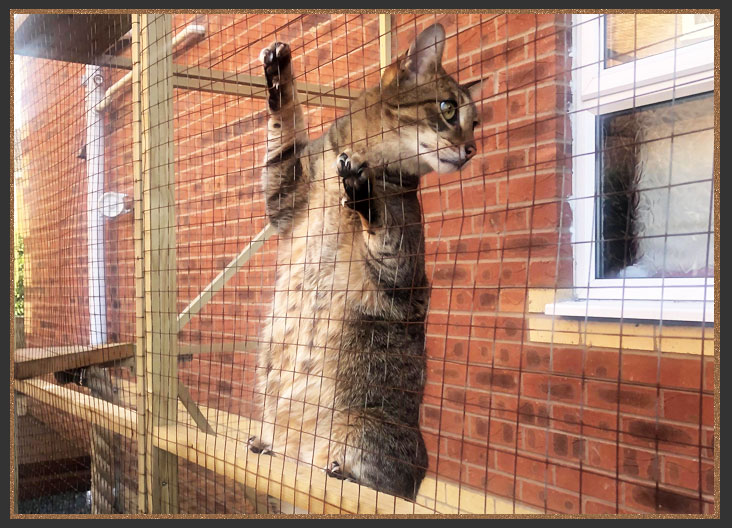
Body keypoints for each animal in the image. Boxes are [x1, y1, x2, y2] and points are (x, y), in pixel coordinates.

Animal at [249, 23, 484, 500]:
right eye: (448, 108)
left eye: (476, 123)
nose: (471, 148)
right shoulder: (284, 198)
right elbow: (282, 135)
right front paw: (279, 75)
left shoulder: (405, 268)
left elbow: (384, 235)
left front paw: (363, 191)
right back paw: (269, 445)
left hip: (364, 428)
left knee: (380, 484)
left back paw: (340, 469)